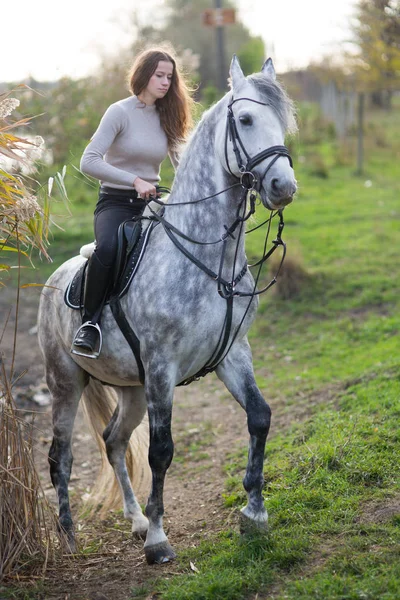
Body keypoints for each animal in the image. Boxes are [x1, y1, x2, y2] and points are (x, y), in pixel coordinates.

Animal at [38, 55, 296, 564]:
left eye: (283, 121)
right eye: (245, 119)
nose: (283, 186)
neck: (209, 257)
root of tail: (55, 279)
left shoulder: (232, 354)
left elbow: (259, 416)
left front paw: (254, 514)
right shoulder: (162, 365)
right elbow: (161, 451)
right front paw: (159, 541)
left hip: (132, 389)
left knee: (114, 441)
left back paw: (135, 520)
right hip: (66, 382)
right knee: (62, 457)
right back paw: (70, 537)